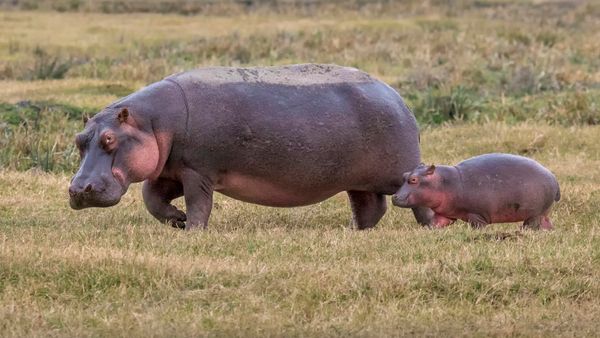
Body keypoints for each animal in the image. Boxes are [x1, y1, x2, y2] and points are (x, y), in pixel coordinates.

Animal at [69, 64, 432, 230]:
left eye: (110, 139)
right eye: (78, 139)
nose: (77, 190)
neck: (153, 123)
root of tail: (397, 97)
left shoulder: (197, 170)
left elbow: (199, 203)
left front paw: (193, 229)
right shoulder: (169, 170)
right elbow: (151, 199)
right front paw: (177, 220)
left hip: (399, 174)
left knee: (416, 198)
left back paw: (430, 227)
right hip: (356, 181)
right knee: (370, 207)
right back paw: (353, 231)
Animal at [392, 154, 560, 230]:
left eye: (413, 179)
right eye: (404, 175)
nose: (394, 197)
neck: (444, 182)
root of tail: (553, 177)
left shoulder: (476, 215)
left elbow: (478, 226)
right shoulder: (445, 214)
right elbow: (436, 223)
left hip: (534, 214)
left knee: (530, 225)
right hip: (543, 212)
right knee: (546, 224)